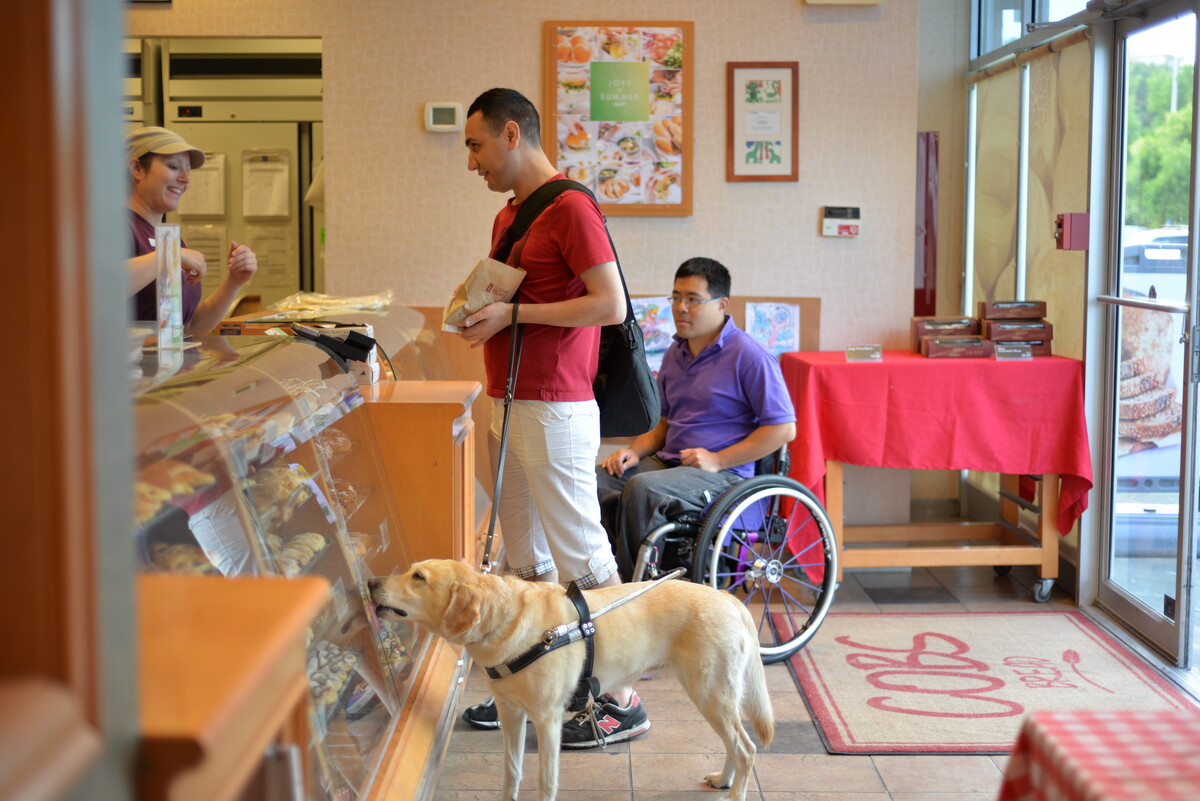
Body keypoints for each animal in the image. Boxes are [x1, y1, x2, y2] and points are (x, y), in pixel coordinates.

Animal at [369, 556, 772, 801]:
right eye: (411, 570)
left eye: (419, 578)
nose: (370, 581)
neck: (506, 619)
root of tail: (730, 600)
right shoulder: (512, 715)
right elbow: (512, 771)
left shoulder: (546, 720)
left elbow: (546, 780)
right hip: (714, 697)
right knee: (736, 744)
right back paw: (724, 780)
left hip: (709, 693)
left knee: (747, 749)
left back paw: (735, 790)